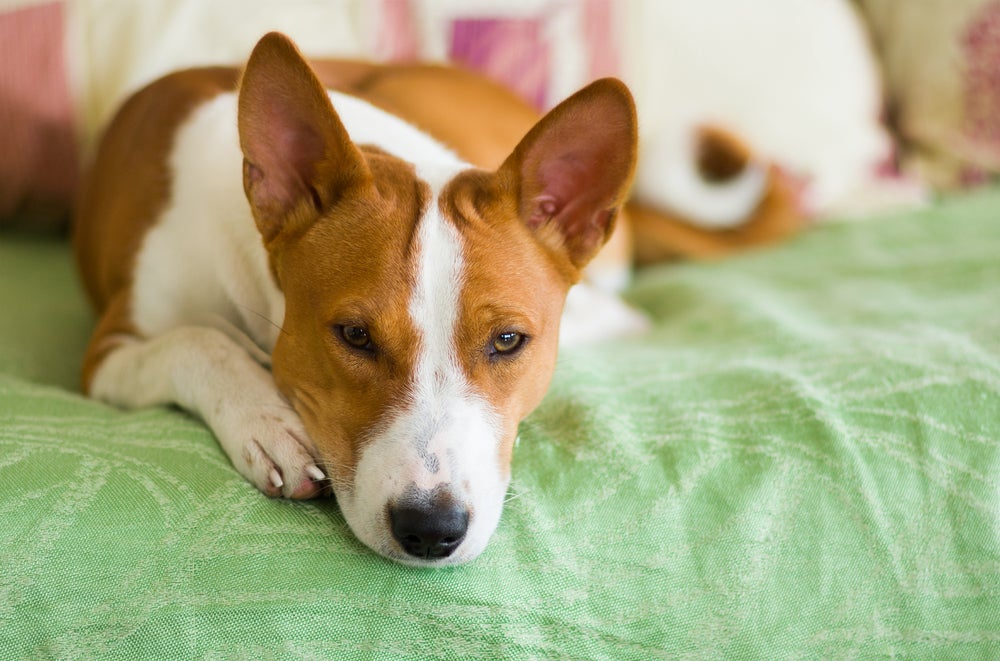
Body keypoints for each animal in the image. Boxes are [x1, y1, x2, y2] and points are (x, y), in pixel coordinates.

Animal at [74, 33, 640, 564]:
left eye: (507, 341)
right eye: (354, 335)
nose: (431, 529)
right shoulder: (107, 353)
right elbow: (196, 342)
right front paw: (264, 419)